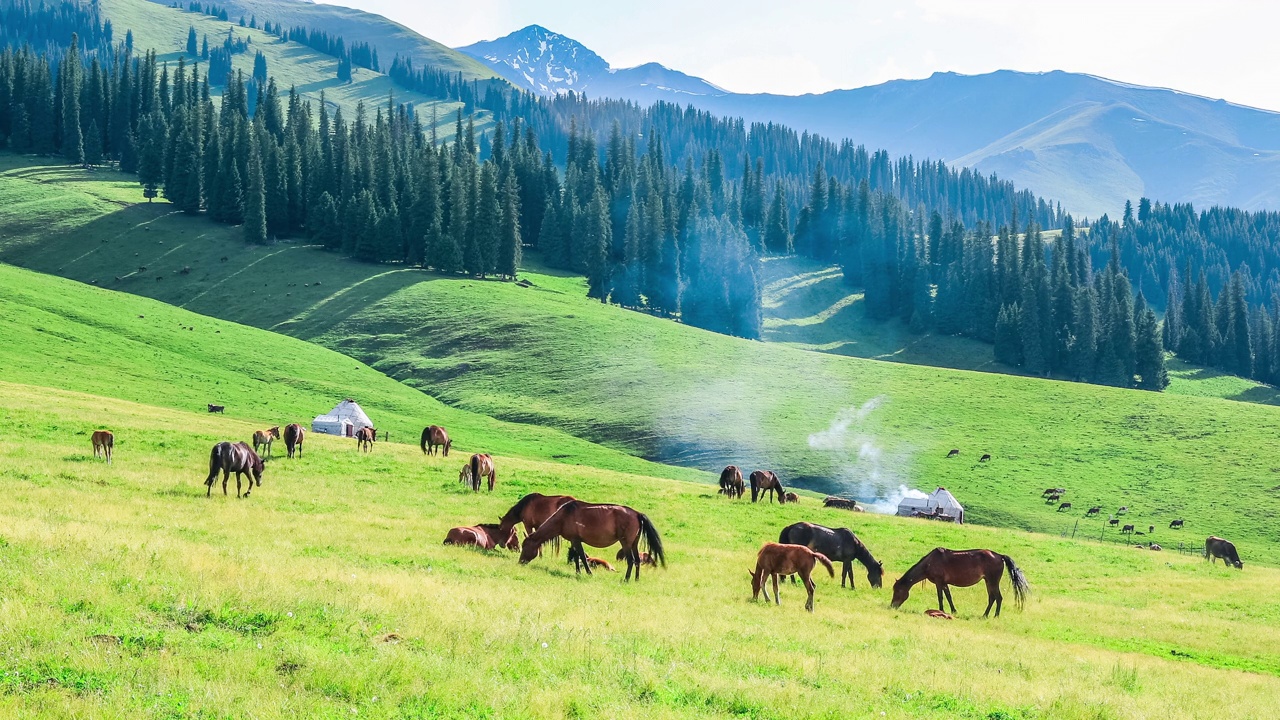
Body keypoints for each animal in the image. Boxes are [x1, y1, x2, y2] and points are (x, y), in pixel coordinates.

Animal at [519, 502, 665, 579]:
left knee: (631, 561)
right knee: (638, 561)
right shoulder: (574, 541)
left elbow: (582, 557)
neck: (564, 517)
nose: (520, 562)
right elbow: (576, 556)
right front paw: (578, 572)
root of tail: (637, 514)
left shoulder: (576, 540)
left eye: (525, 546)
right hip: (634, 544)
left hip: (626, 543)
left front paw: (588, 573)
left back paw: (626, 579)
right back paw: (636, 579)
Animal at [890, 545, 1029, 614]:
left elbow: (940, 597)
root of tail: (1000, 556)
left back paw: (995, 616)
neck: (929, 562)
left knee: (998, 598)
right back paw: (985, 615)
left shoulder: (939, 582)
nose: (892, 606)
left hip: (993, 581)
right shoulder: (944, 583)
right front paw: (953, 611)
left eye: (897, 591)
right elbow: (948, 596)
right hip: (988, 581)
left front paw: (941, 610)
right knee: (992, 598)